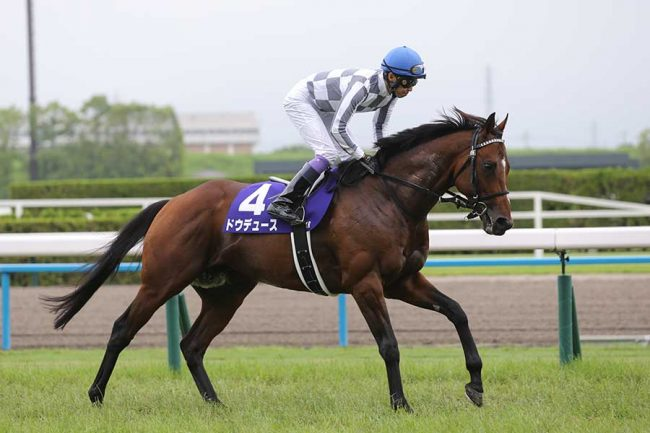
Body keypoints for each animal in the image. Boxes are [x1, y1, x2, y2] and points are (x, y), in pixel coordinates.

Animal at [44, 108, 513, 412]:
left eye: (507, 166)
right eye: (490, 165)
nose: (503, 221)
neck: (391, 197)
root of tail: (173, 202)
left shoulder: (403, 281)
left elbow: (458, 312)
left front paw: (475, 385)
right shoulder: (366, 283)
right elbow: (389, 345)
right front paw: (401, 405)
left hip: (228, 291)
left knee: (192, 345)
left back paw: (216, 405)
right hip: (162, 279)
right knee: (123, 329)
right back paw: (96, 396)